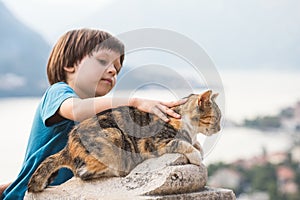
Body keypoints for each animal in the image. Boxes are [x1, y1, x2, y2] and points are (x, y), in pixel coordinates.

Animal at [27, 89, 220, 192]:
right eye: (217, 118)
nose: (219, 128)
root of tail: (68, 147)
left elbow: (195, 143)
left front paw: (199, 148)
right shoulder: (156, 142)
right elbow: (183, 144)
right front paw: (197, 156)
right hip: (113, 137)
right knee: (83, 173)